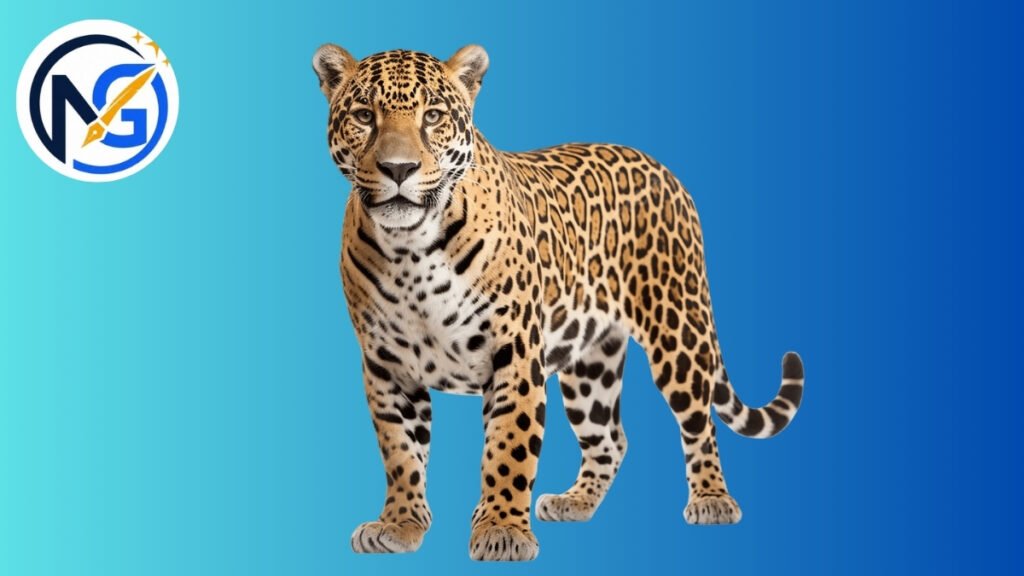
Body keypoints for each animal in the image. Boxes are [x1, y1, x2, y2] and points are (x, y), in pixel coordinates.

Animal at [312, 43, 805, 562]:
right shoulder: (386, 366)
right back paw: (575, 501)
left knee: (699, 419)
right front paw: (399, 524)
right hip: (590, 361)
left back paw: (712, 498)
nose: (399, 170)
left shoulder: (515, 353)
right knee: (611, 439)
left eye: (433, 117)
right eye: (365, 116)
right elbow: (401, 452)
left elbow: (510, 447)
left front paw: (502, 530)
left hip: (678, 329)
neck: (411, 250)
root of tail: (661, 168)